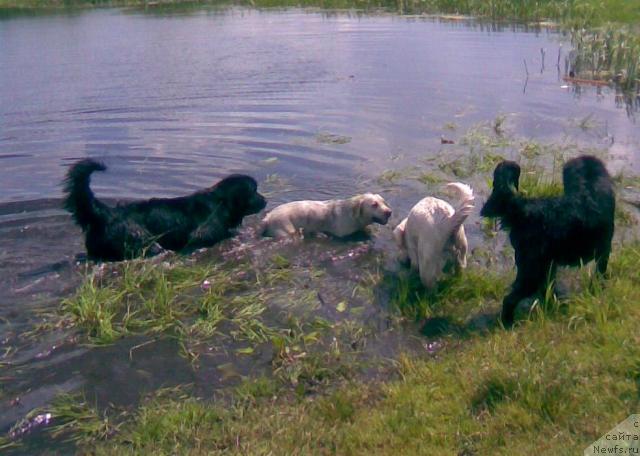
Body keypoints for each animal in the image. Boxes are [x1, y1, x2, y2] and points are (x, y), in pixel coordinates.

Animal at [63, 159, 268, 262]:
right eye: (254, 190)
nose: (266, 200)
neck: (220, 203)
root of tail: (106, 213)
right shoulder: (200, 235)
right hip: (142, 240)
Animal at [480, 155, 616, 326]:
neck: (588, 188)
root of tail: (522, 208)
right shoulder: (604, 250)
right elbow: (599, 275)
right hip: (533, 271)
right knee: (510, 299)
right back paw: (508, 322)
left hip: (542, 266)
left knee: (544, 289)